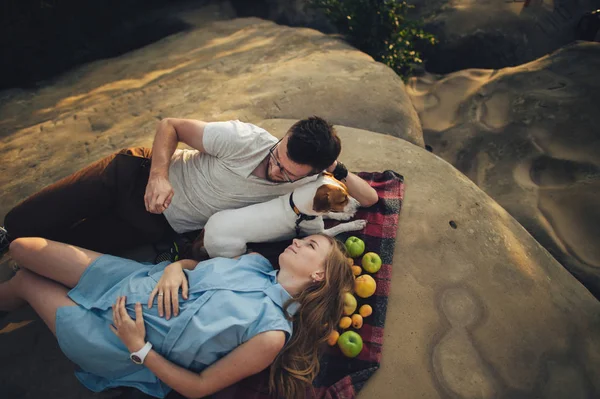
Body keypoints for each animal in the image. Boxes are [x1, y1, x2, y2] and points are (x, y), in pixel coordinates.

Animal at [200, 173, 366, 260]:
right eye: (342, 199)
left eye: (348, 191)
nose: (359, 205)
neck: (298, 210)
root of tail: (205, 231)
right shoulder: (320, 232)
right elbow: (339, 227)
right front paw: (355, 223)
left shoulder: (317, 217)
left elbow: (329, 213)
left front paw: (345, 215)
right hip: (234, 248)